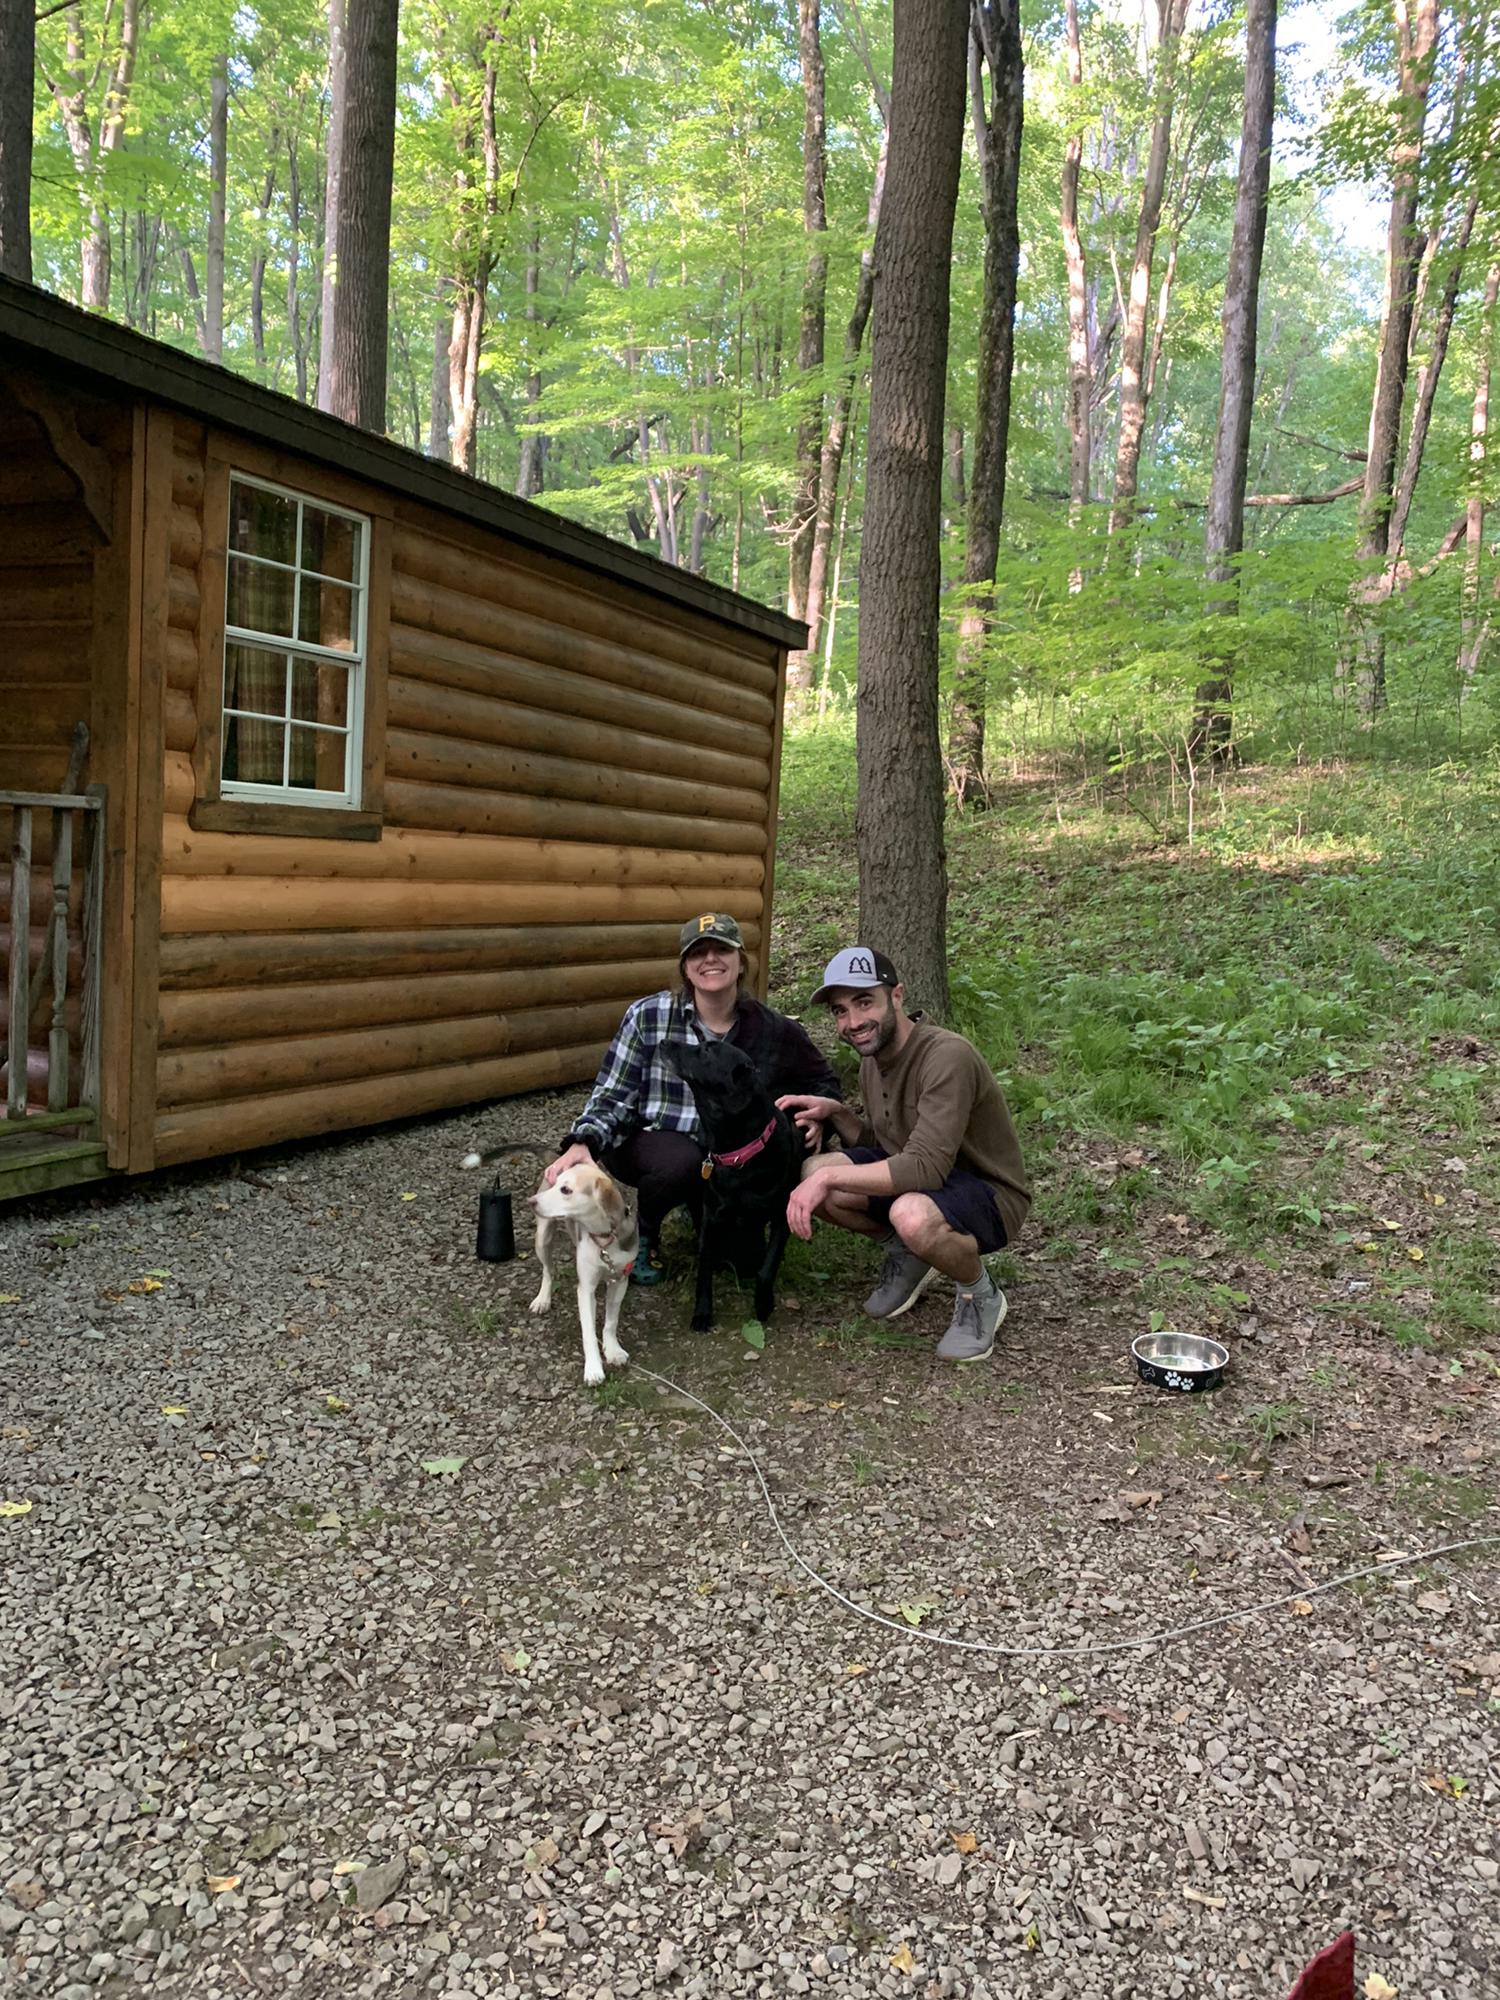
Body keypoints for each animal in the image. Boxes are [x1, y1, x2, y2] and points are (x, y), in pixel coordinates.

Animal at [464, 1152, 640, 1384]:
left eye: (566, 1190)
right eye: (557, 1184)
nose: (531, 1202)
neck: (604, 1239)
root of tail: (559, 1155)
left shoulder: (619, 1280)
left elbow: (611, 1321)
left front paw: (613, 1350)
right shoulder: (585, 1289)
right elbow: (588, 1334)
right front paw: (593, 1369)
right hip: (542, 1238)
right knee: (548, 1270)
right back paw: (543, 1299)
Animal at [664, 1032, 804, 1328]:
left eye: (706, 1050)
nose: (663, 1042)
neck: (740, 1153)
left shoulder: (781, 1218)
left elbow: (766, 1270)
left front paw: (763, 1305)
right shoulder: (711, 1218)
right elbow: (703, 1270)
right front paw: (702, 1313)